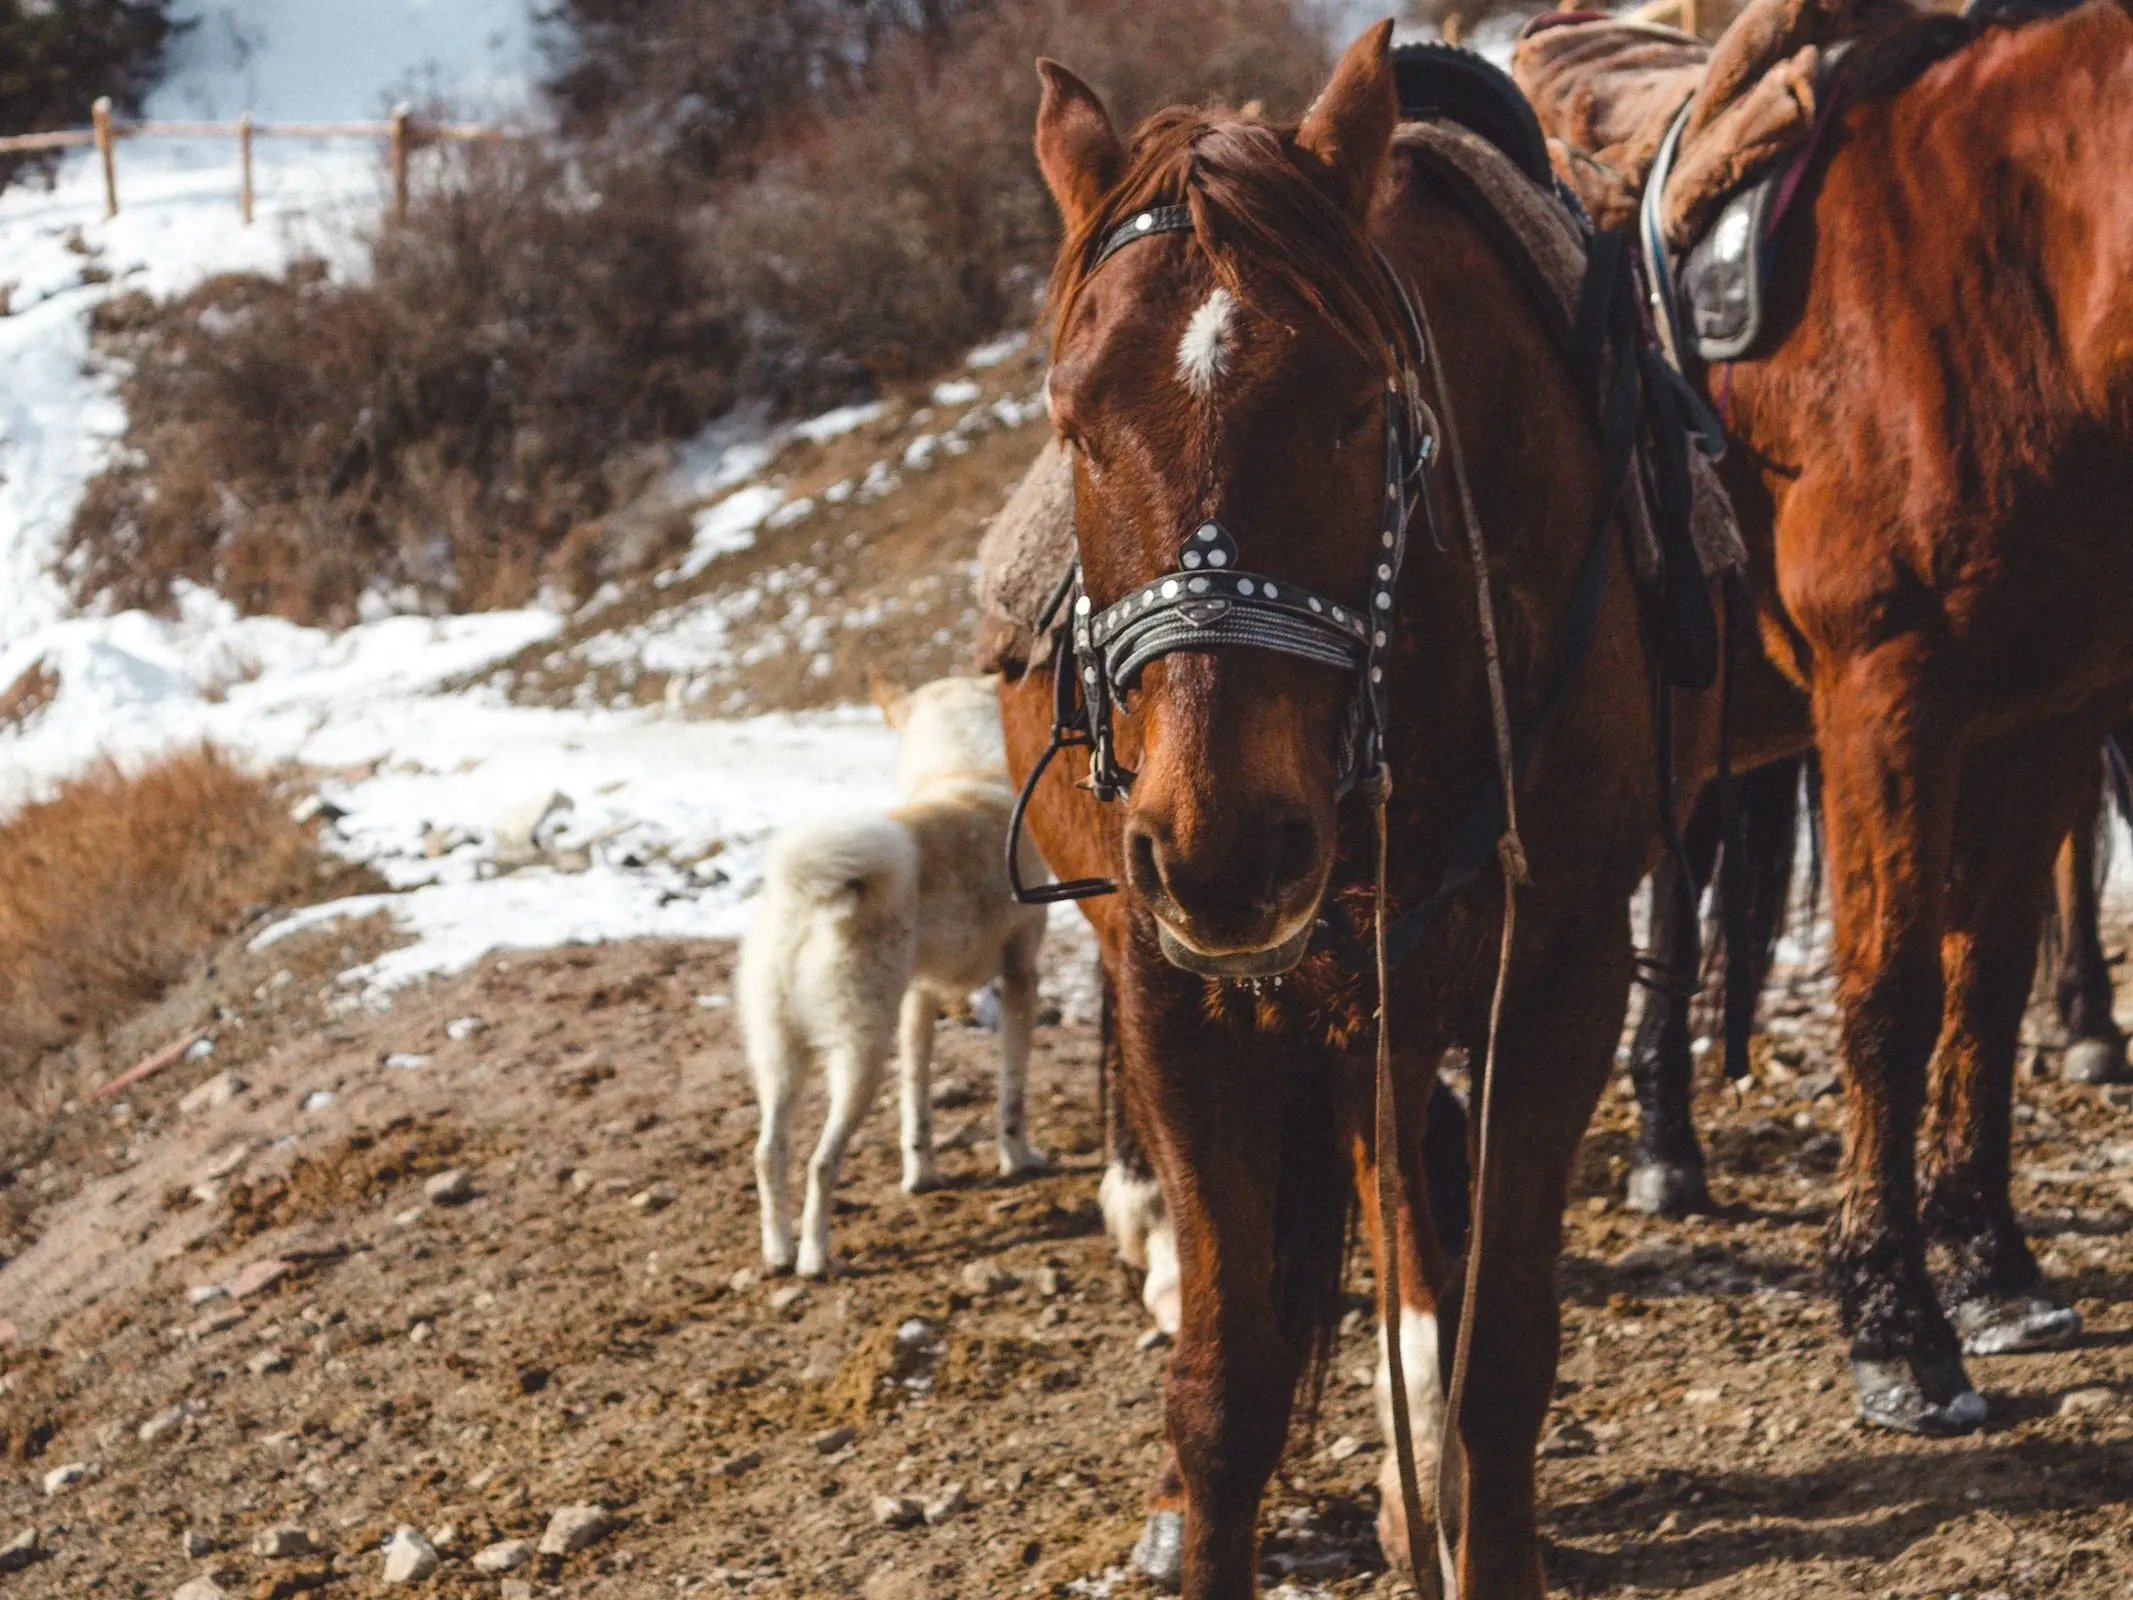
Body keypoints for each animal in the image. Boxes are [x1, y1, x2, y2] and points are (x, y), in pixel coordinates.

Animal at [746, 678, 1053, 1280]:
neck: (962, 769)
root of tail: (806, 896)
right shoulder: (1020, 978)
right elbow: (1011, 1097)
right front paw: (1019, 1161)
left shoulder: (919, 1000)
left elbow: (917, 1107)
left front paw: (923, 1178)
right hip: (860, 1056)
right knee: (820, 1162)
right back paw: (815, 1259)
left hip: (782, 1059)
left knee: (769, 1153)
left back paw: (778, 1251)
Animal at [1002, 25, 1731, 1600]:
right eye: (1077, 422)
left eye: (1353, 406)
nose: (1223, 848)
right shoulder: (1182, 989)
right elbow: (1223, 1386)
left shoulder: (1556, 967)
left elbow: (1506, 1343)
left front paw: (1467, 1508)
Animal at [1527, 0, 2133, 1425]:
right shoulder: (1889, 696)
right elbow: (1890, 993)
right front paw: (1894, 1320)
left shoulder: (2050, 708)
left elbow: (1987, 975)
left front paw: (1990, 1262)